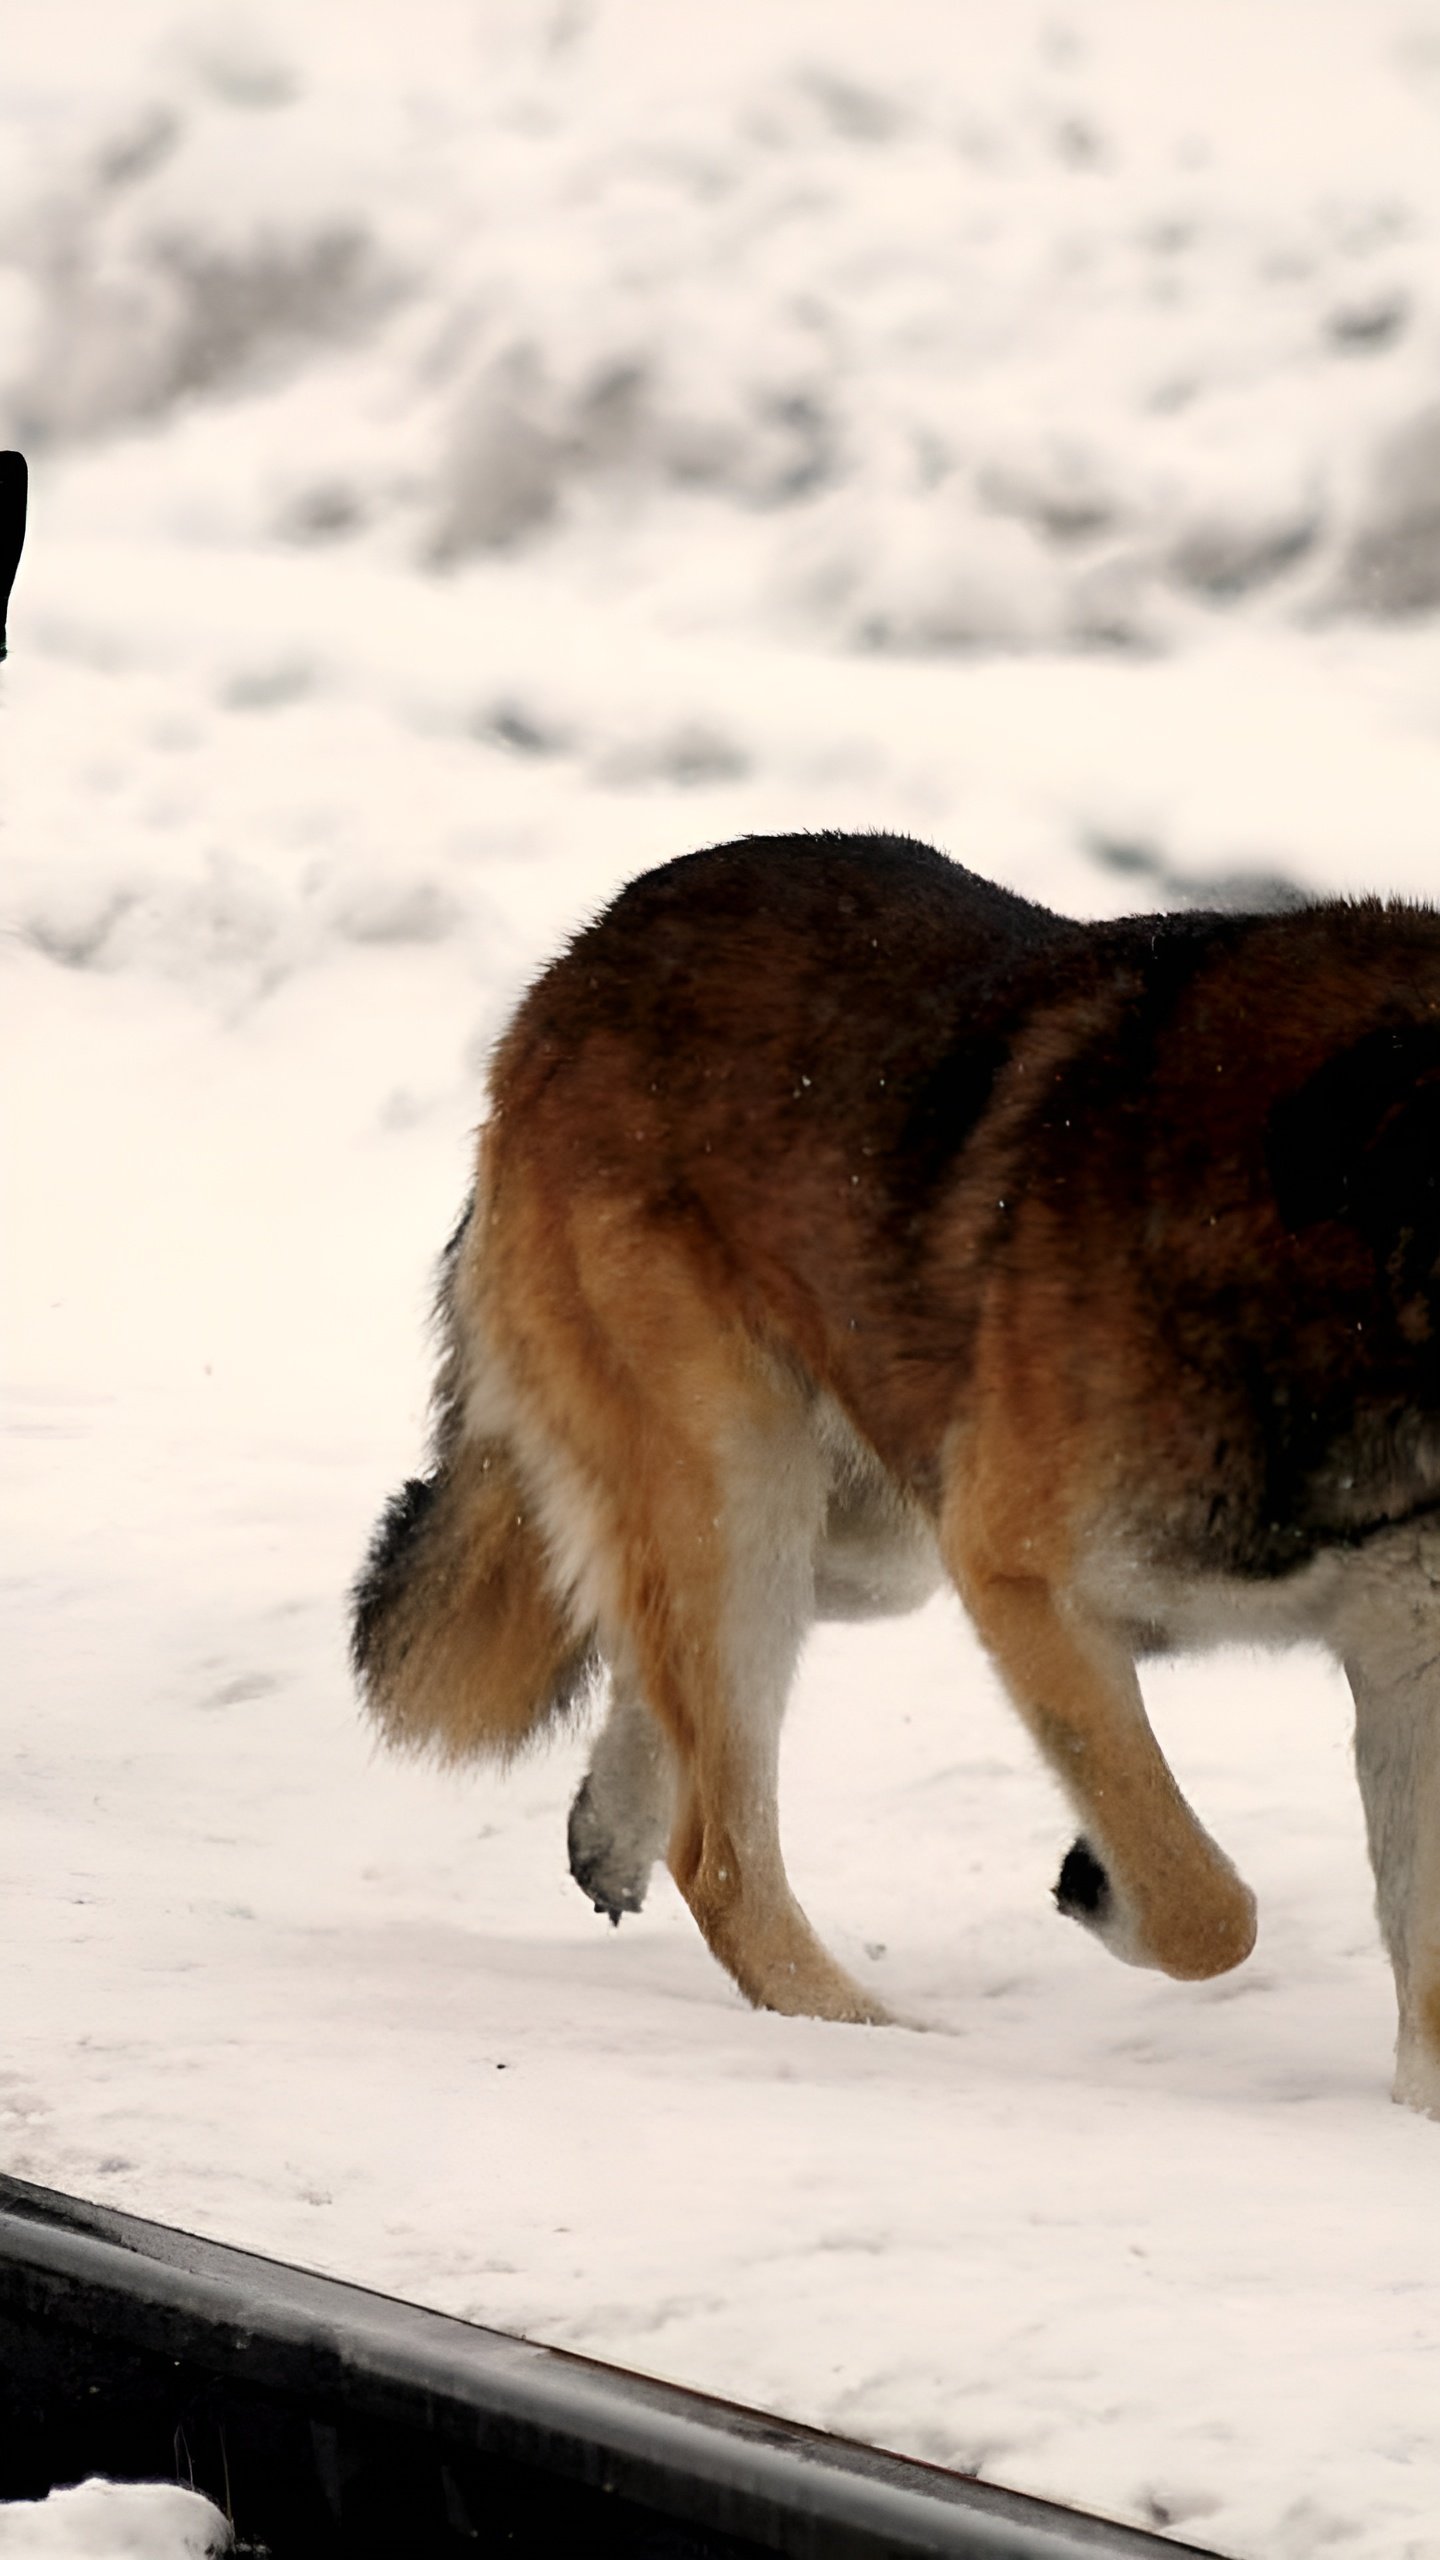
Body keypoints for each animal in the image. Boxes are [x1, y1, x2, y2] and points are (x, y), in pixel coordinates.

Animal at [353, 839, 1434, 2119]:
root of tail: (578, 963)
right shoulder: (1021, 1579)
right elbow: (1202, 1904)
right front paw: (1105, 1886)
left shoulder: (1412, 1658)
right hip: (748, 1500)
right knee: (719, 1851)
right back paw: (864, 2033)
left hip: (862, 1540)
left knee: (648, 1657)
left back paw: (614, 1823)